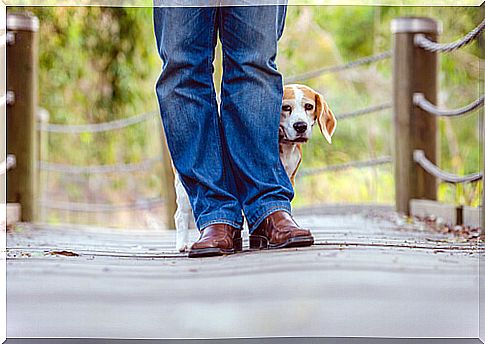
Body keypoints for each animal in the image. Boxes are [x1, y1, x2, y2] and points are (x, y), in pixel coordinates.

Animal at [172, 82, 334, 250]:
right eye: (286, 108)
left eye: (309, 106)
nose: (300, 126)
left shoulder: (288, 178)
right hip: (184, 189)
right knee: (180, 215)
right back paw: (183, 244)